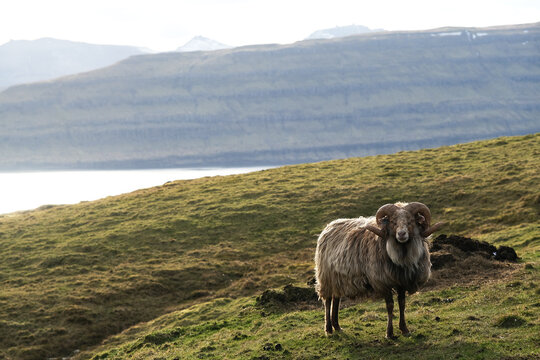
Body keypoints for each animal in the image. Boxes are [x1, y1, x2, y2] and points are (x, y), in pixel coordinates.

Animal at [314, 202, 446, 338]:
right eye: (392, 222)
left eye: (411, 221)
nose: (401, 234)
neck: (402, 254)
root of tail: (329, 226)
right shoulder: (384, 282)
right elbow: (390, 305)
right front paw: (390, 333)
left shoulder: (401, 282)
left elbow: (402, 303)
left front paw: (404, 329)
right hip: (326, 277)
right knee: (328, 301)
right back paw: (329, 329)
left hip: (338, 278)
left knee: (336, 299)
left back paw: (337, 327)